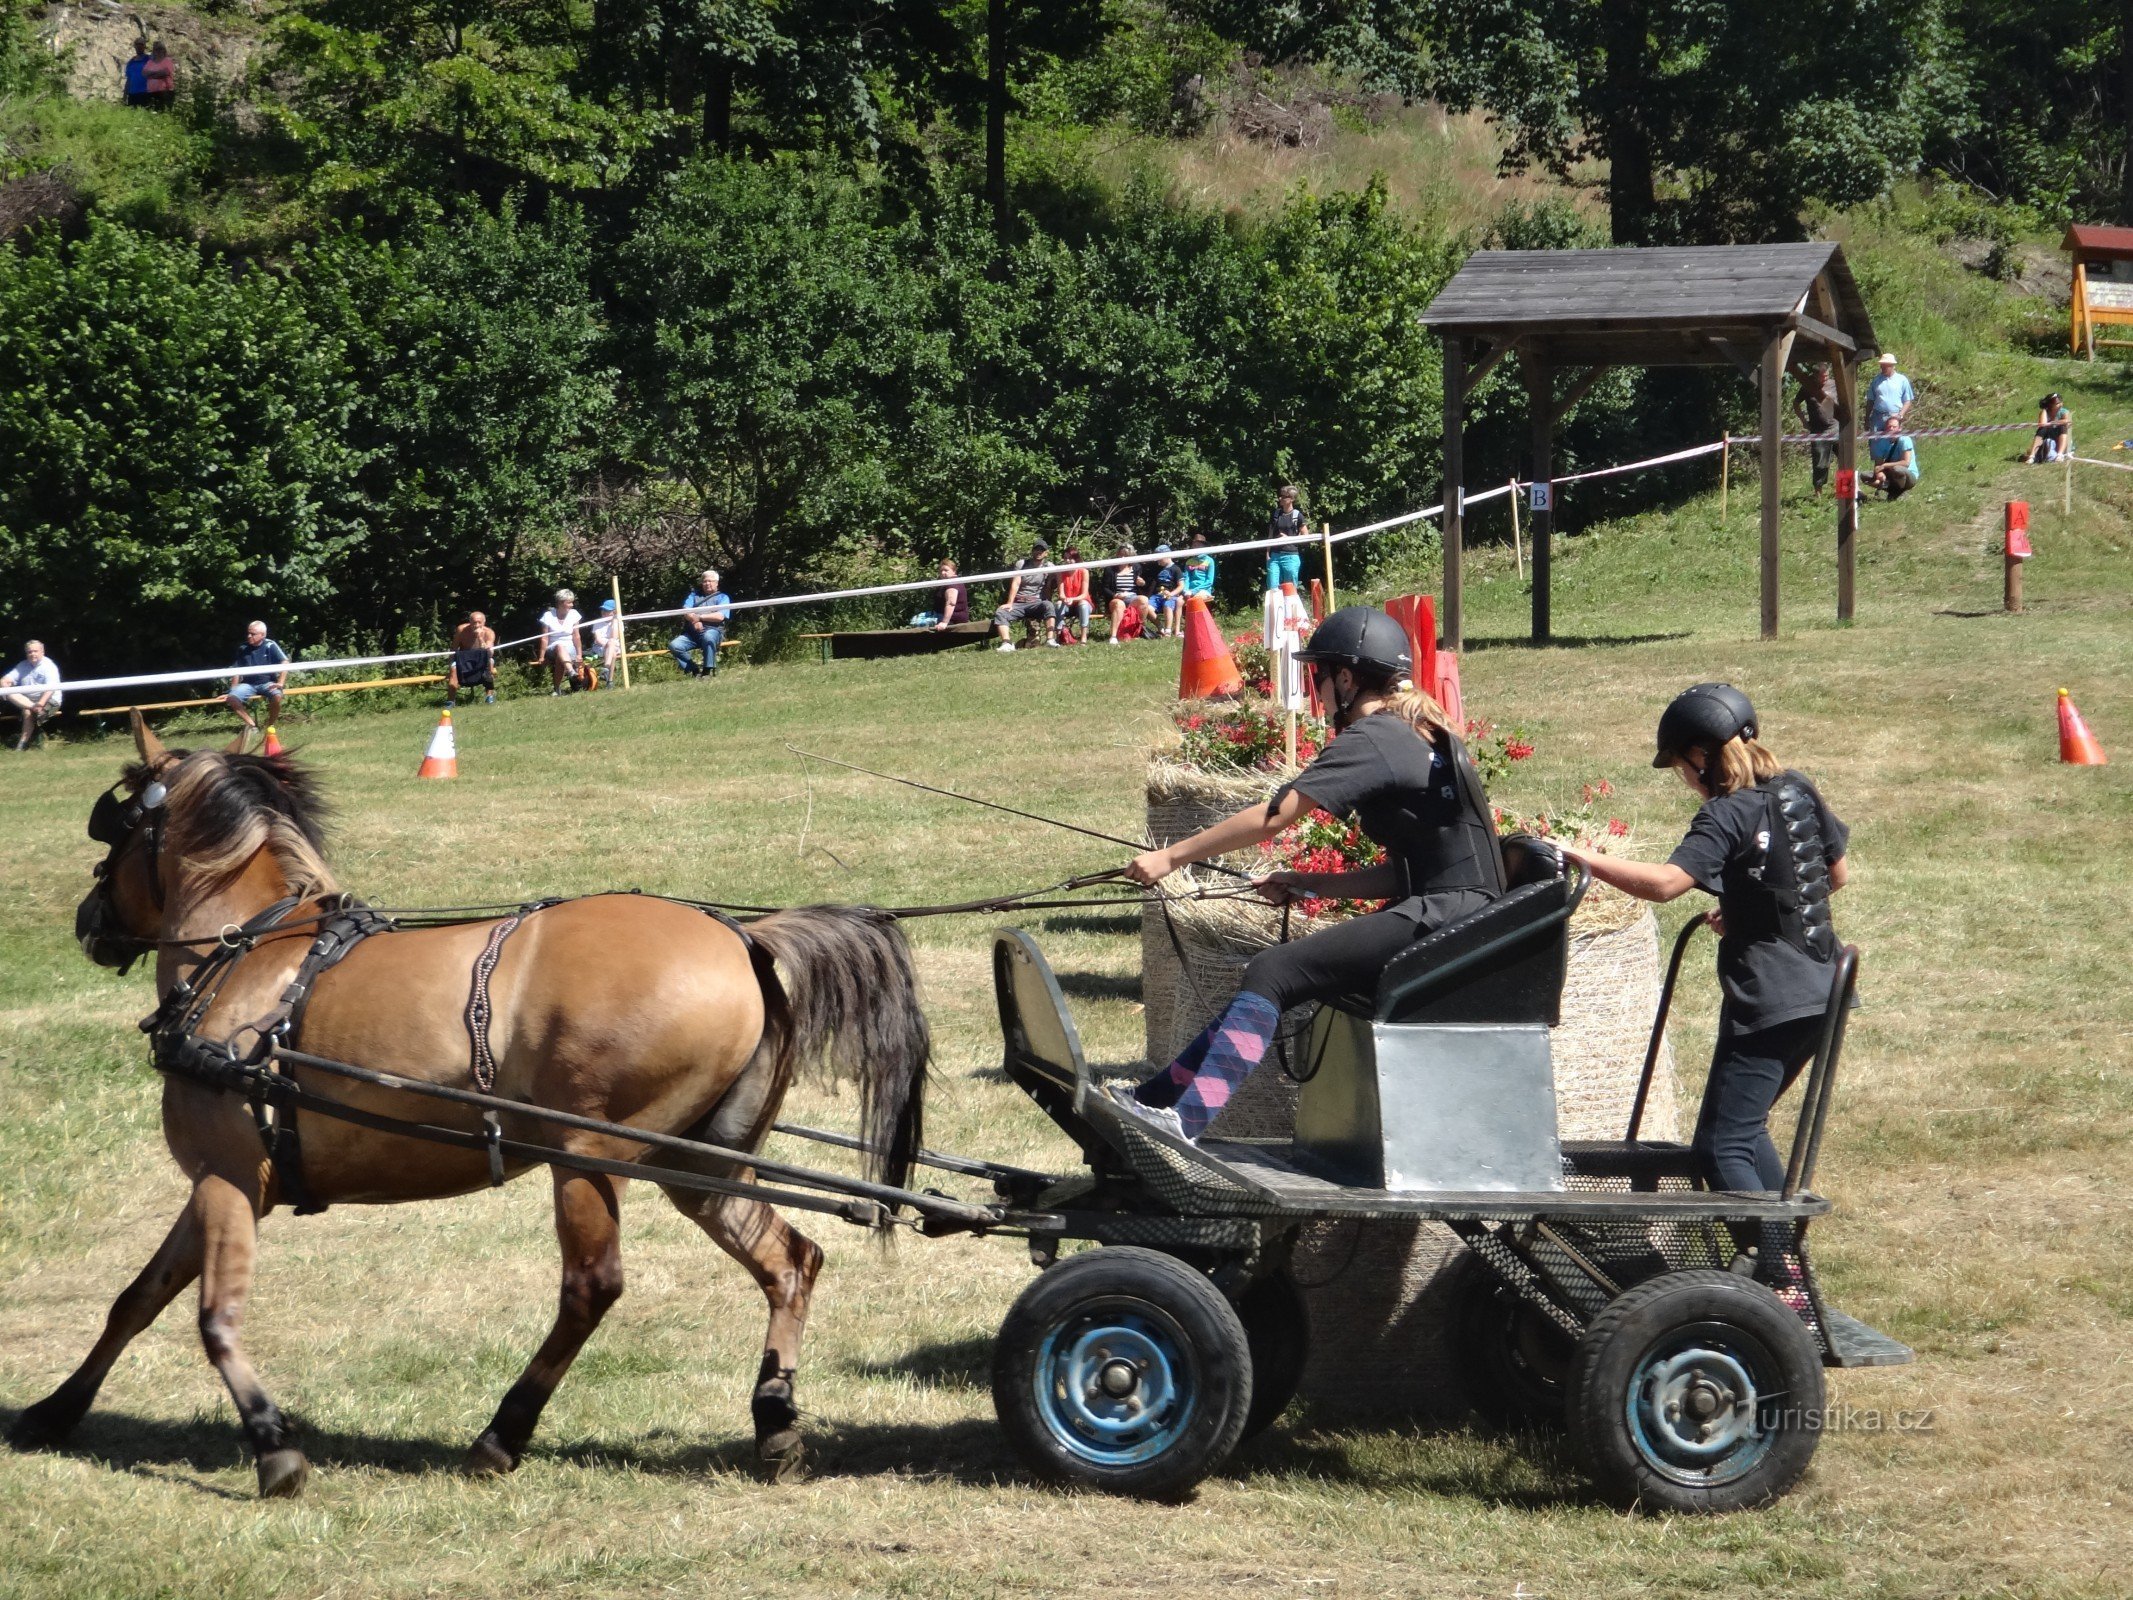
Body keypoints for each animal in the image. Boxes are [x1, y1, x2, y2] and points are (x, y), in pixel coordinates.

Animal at [10, 725, 925, 1501]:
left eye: (115, 828)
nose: (89, 922)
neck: (248, 959)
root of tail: (743, 938)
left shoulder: (230, 1176)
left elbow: (213, 1315)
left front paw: (273, 1446)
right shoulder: (219, 1179)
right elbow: (138, 1297)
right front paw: (56, 1410)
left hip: (590, 1156)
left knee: (591, 1288)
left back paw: (501, 1435)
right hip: (699, 1162)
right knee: (790, 1260)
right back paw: (773, 1420)